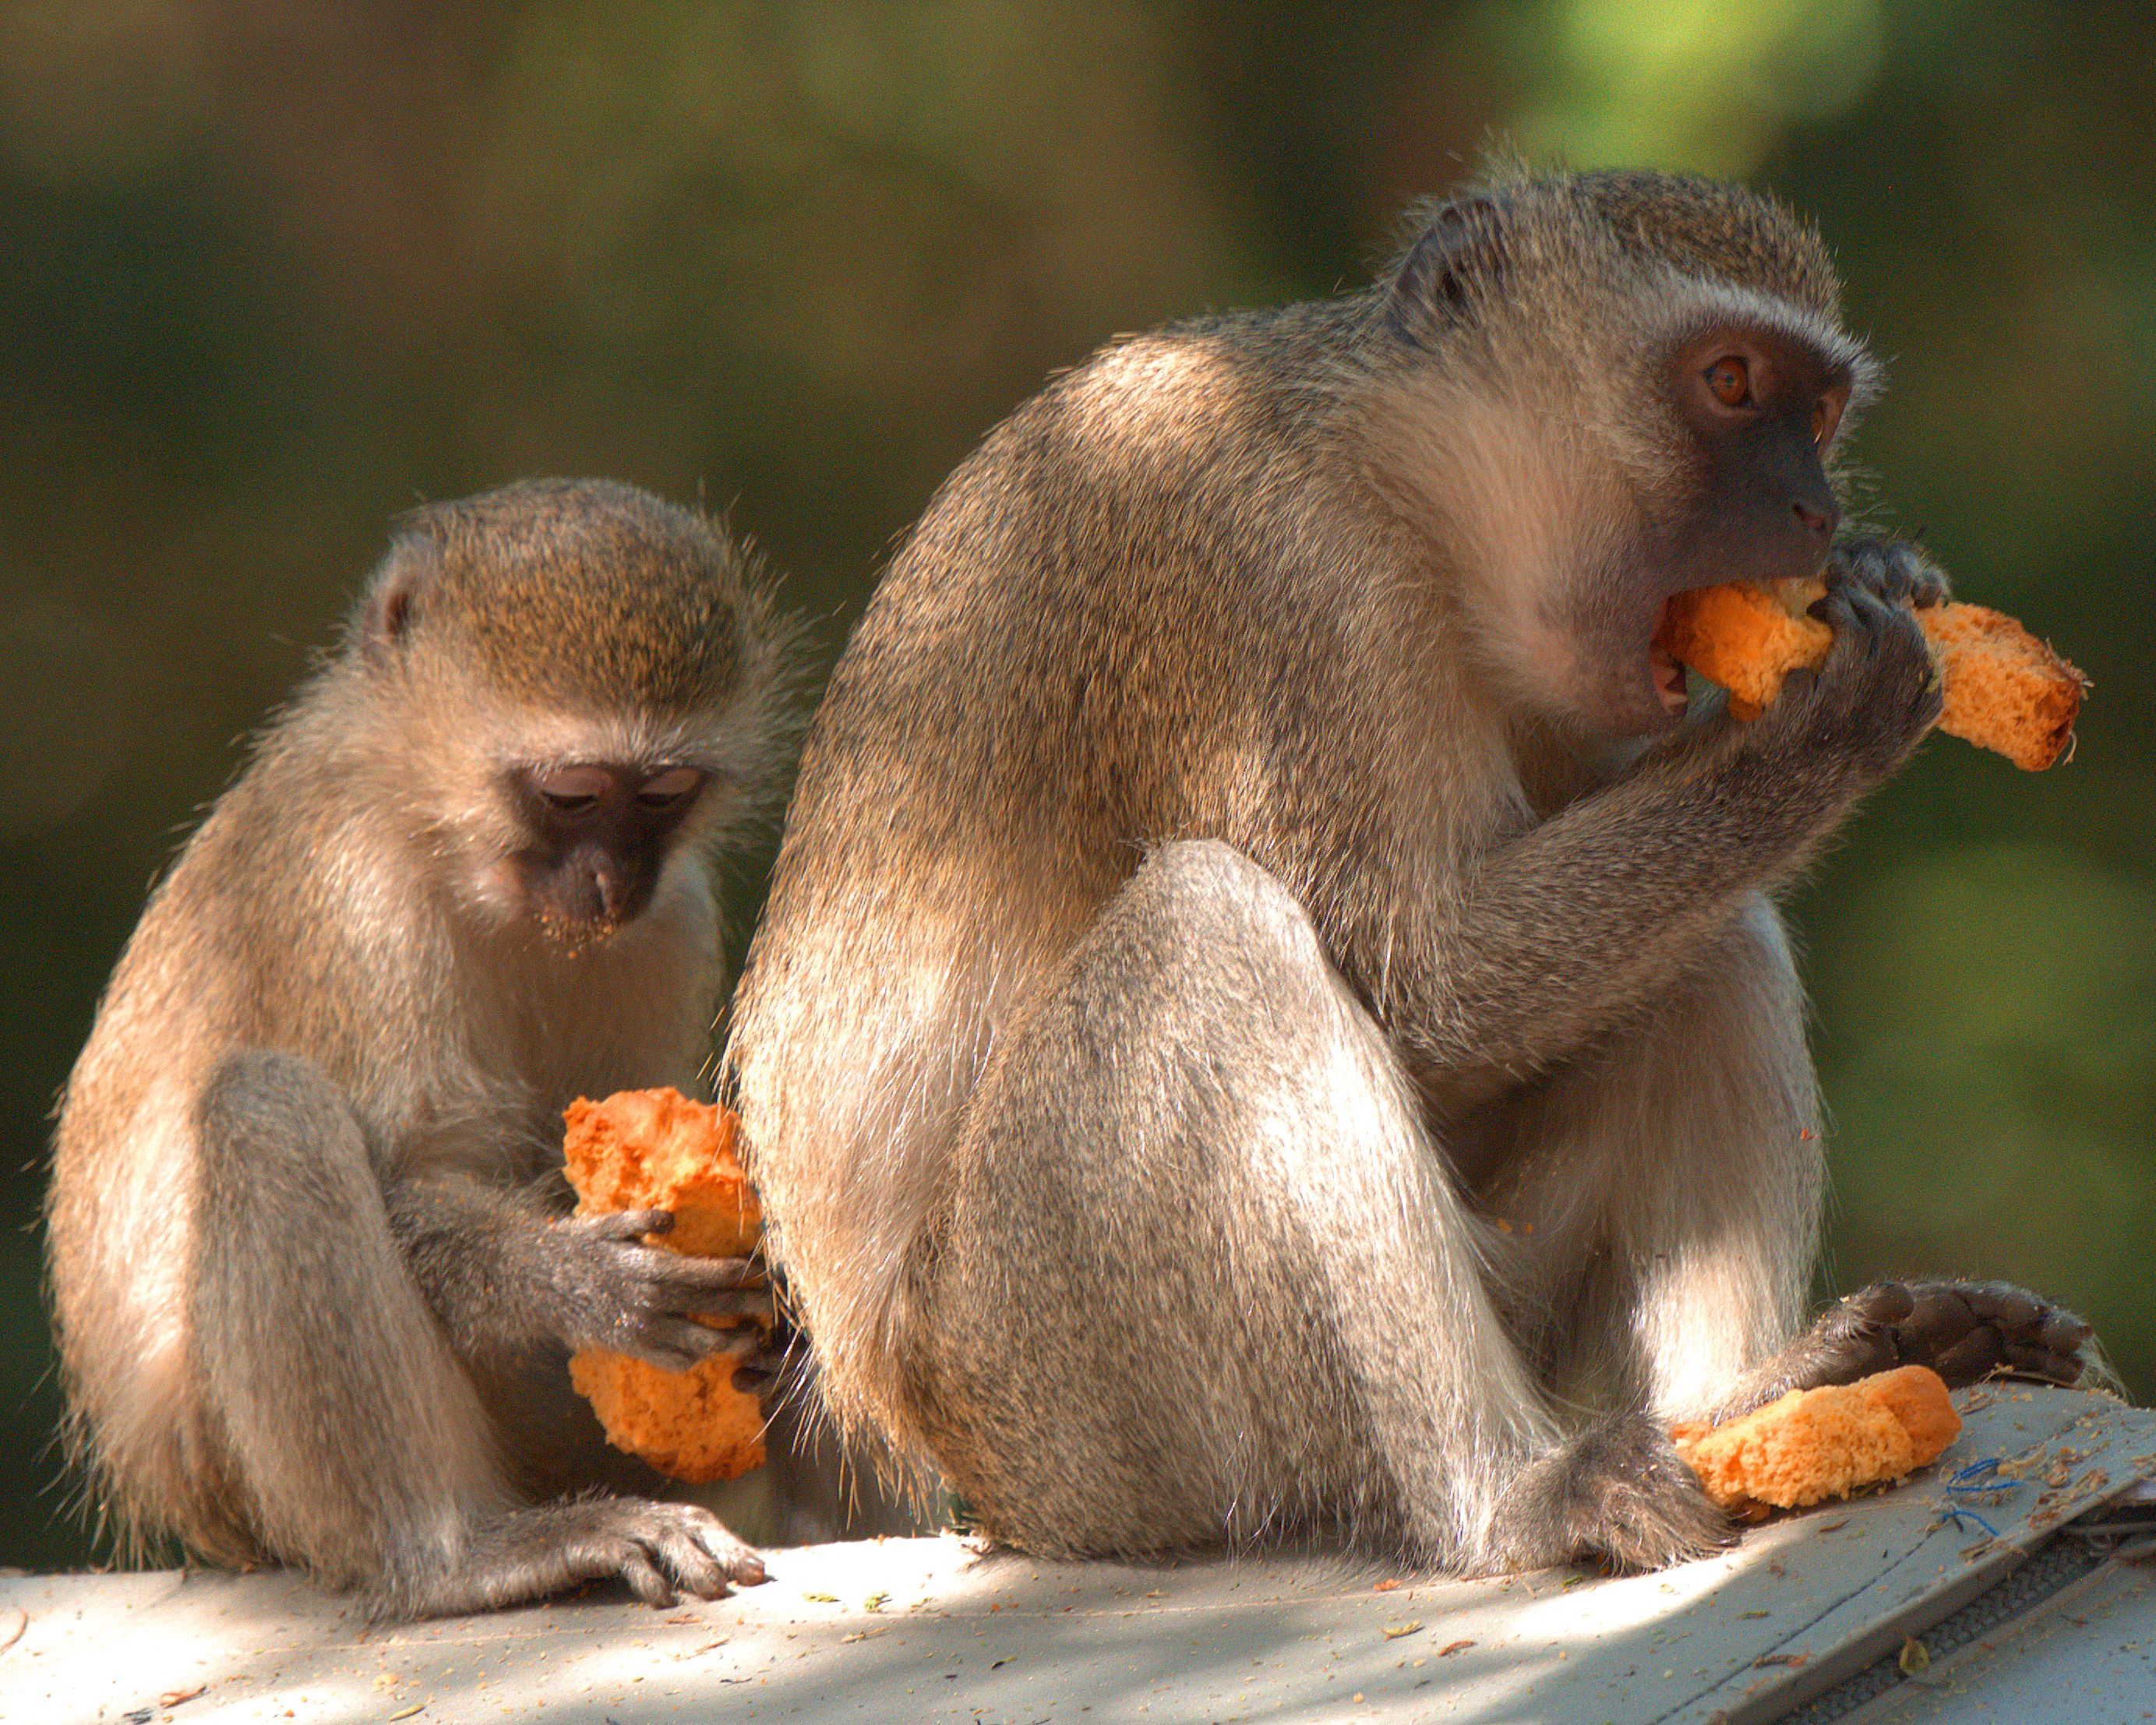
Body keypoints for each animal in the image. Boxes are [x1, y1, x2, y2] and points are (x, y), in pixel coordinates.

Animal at [51, 474, 810, 1621]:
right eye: (572, 795)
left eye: (663, 795)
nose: (611, 885)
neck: (448, 840)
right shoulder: (351, 893)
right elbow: (413, 1172)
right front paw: (577, 1282)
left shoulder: (669, 920)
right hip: (227, 1465)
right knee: (265, 1107)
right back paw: (459, 1555)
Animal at [732, 168, 2095, 1569]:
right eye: (1727, 382)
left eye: (1817, 412)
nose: (1813, 508)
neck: (1403, 486)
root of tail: (948, 1447)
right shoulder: (1290, 593)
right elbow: (1425, 987)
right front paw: (1818, 722)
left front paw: (1873, 577)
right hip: (1059, 1380)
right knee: (1206, 929)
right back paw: (1511, 1493)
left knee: (1708, 937)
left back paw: (1757, 1399)